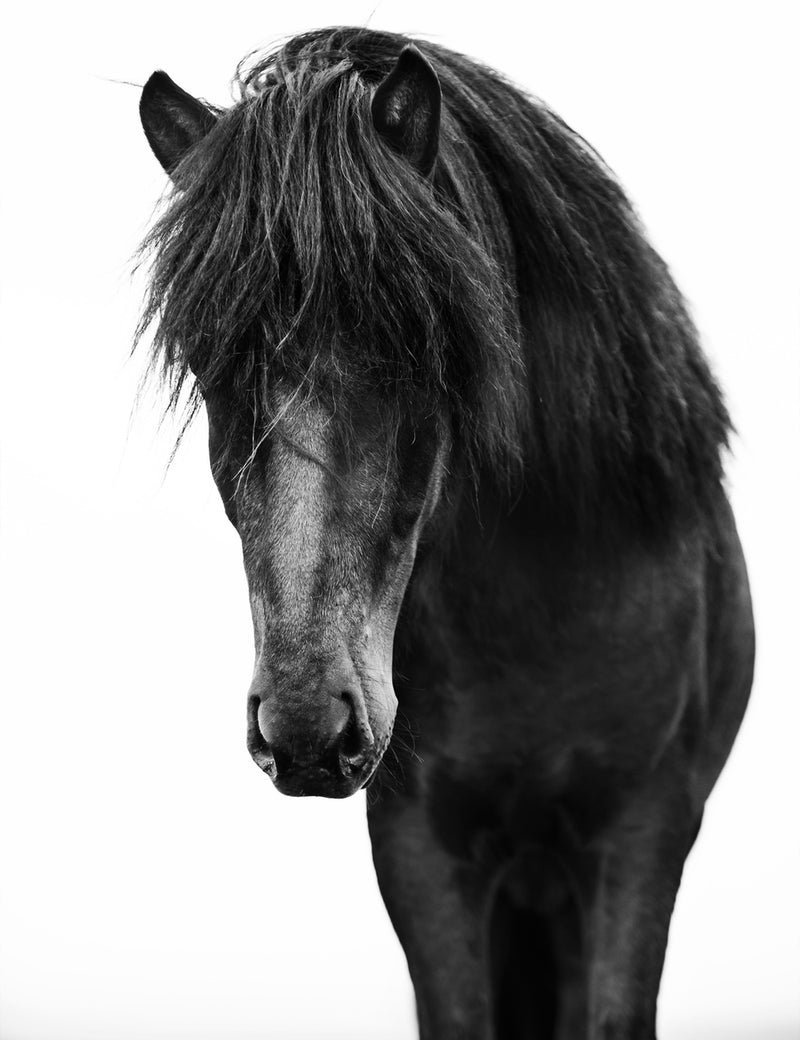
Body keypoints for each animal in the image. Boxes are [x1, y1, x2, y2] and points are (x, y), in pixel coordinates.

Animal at [137, 26, 754, 1040]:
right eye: (207, 358)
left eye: (422, 340)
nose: (306, 729)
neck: (542, 613)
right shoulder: (421, 843)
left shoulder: (643, 831)